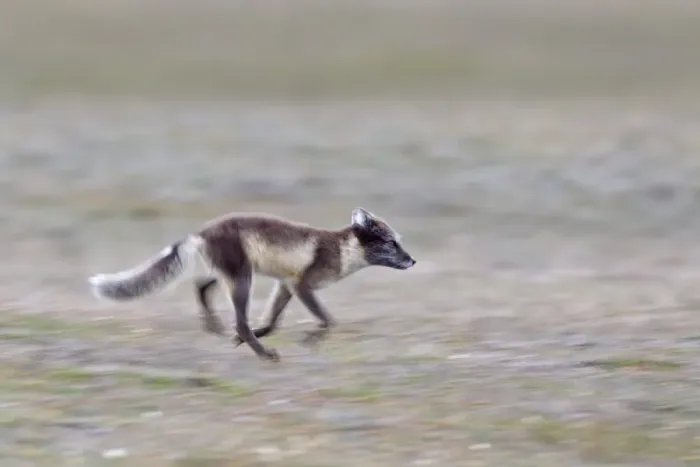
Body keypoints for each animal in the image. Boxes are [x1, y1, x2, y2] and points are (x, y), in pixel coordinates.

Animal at [87, 207, 416, 362]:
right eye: (391, 243)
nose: (413, 261)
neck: (342, 249)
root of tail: (201, 230)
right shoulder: (302, 285)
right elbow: (328, 321)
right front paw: (310, 341)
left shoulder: (286, 285)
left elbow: (272, 322)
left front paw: (252, 337)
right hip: (242, 278)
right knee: (238, 320)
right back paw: (264, 354)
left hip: (229, 274)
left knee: (200, 286)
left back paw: (217, 328)